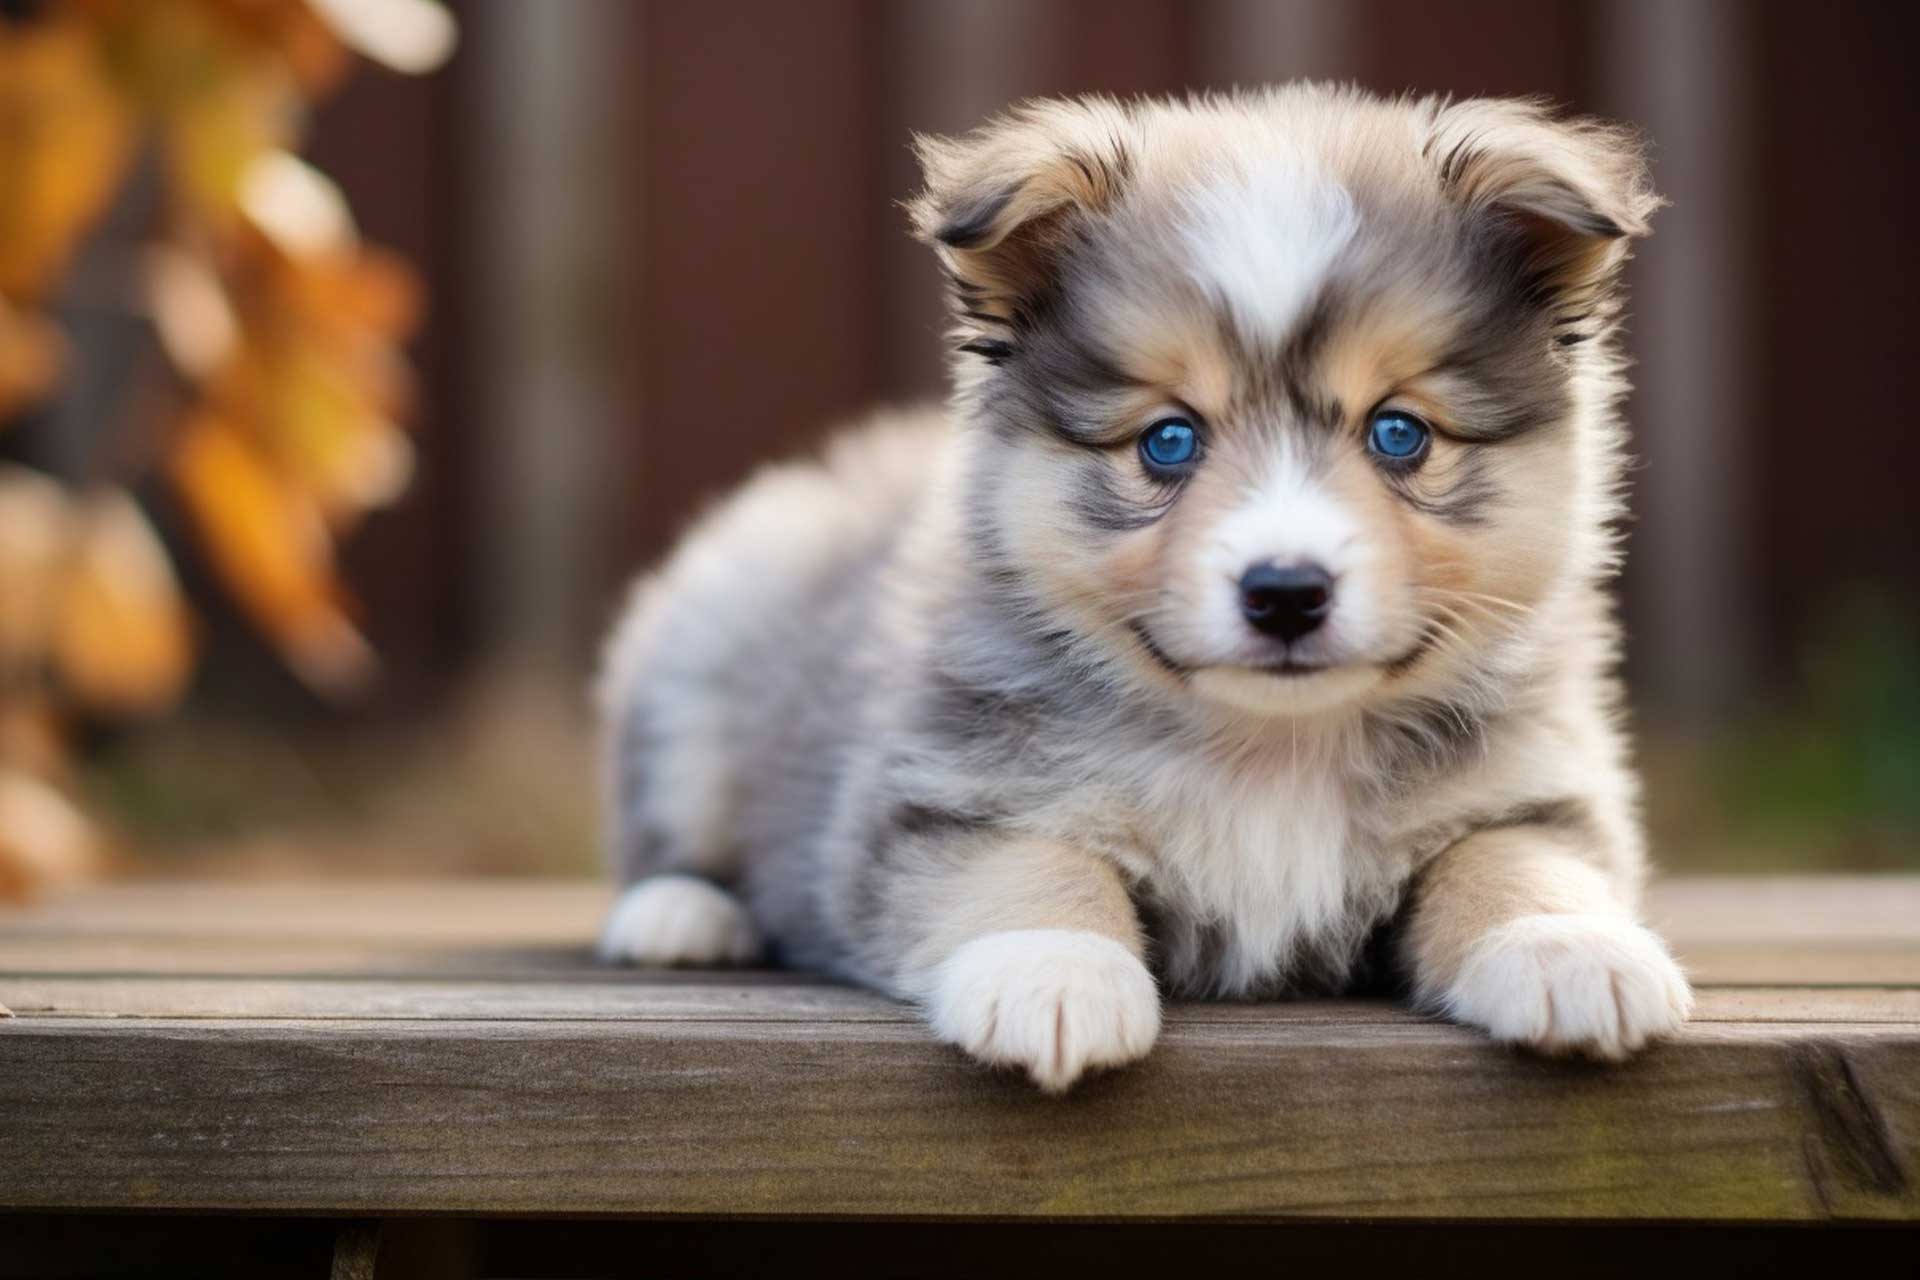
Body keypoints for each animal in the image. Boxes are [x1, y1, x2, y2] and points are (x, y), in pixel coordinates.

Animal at [599, 87, 1697, 1090]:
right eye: (1169, 440)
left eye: (1400, 432)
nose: (1285, 591)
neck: (1274, 748)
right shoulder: (944, 794)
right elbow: (1031, 865)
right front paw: (1052, 975)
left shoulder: (1528, 788)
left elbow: (1514, 860)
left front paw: (1569, 950)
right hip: (704, 654)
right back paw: (682, 914)